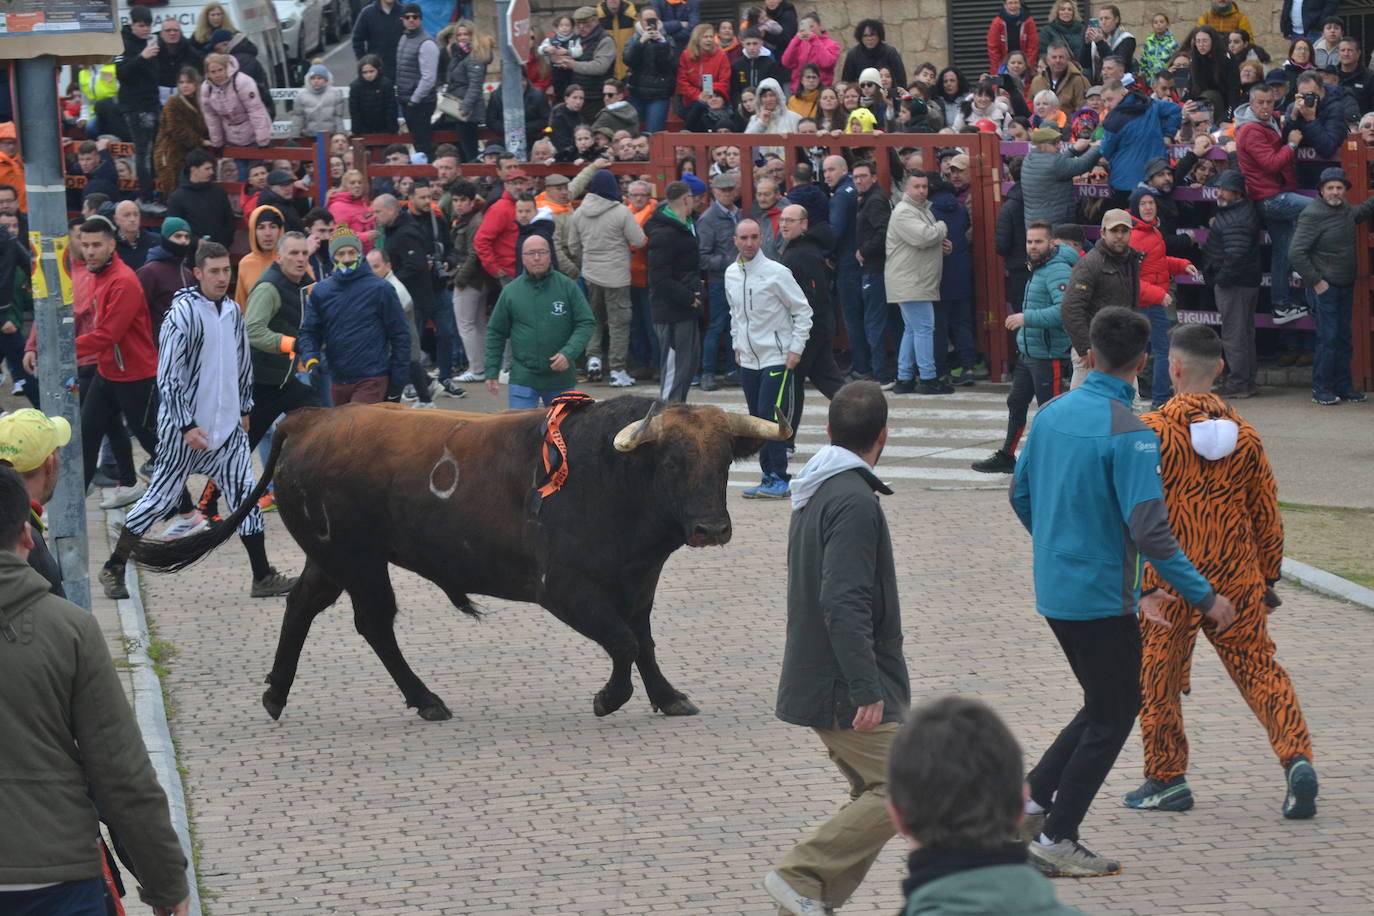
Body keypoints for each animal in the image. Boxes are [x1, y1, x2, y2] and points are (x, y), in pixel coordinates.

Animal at [136, 398, 796, 725]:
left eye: (723, 459)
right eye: (672, 462)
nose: (712, 528)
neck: (612, 471)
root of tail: (310, 418)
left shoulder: (637, 585)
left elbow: (644, 642)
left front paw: (667, 696)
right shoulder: (564, 589)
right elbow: (625, 643)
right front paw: (610, 698)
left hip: (334, 559)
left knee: (302, 606)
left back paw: (277, 693)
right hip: (358, 562)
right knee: (374, 623)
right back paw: (426, 699)